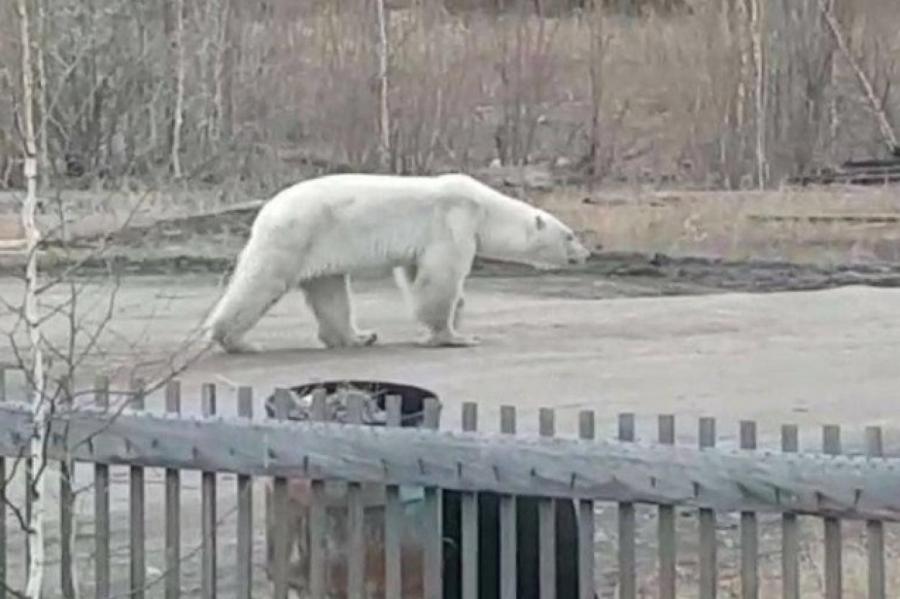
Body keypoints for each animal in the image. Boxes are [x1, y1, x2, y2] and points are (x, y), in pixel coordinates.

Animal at [207, 171, 596, 354]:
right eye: (570, 235)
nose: (586, 254)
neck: (485, 207)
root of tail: (266, 211)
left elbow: (416, 275)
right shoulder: (454, 219)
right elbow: (441, 277)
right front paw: (456, 336)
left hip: (321, 244)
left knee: (330, 290)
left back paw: (358, 337)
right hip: (295, 234)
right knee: (261, 283)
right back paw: (239, 341)